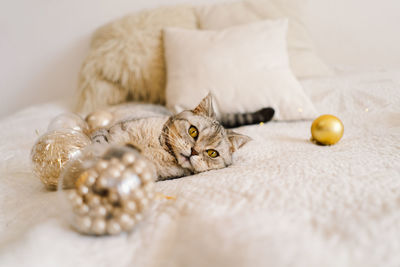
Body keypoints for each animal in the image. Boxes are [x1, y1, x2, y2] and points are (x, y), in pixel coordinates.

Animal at [90, 94, 272, 182]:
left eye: (212, 153)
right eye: (193, 131)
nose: (193, 152)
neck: (159, 150)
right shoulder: (107, 134)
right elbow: (98, 146)